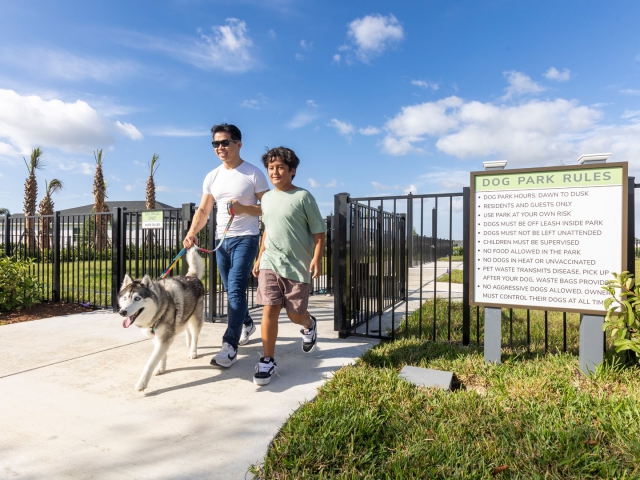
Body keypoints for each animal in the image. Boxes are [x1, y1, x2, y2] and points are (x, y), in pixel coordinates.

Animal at [116, 248, 204, 390]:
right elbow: (161, 355)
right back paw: (188, 342)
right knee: (186, 327)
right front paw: (161, 368)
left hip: (196, 319)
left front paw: (142, 383)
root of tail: (192, 276)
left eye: (137, 298)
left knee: (195, 335)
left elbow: (151, 361)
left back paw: (193, 351)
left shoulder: (164, 338)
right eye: (125, 298)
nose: (122, 312)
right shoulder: (156, 337)